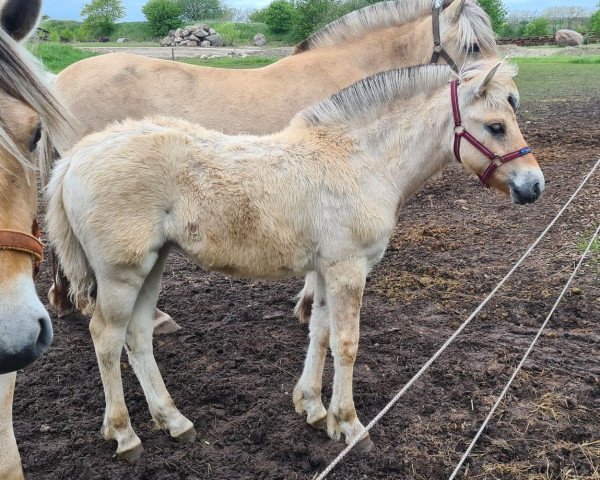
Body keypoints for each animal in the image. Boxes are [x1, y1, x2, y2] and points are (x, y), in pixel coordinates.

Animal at [47, 58, 544, 460]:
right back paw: (124, 434)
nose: (533, 185)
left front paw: (313, 407)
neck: (360, 159)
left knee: (137, 337)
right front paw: (350, 425)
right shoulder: (348, 269)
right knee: (106, 338)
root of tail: (74, 158)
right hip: (120, 275)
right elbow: (346, 342)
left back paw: (174, 421)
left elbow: (319, 333)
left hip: (152, 266)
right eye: (496, 126)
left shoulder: (325, 270)